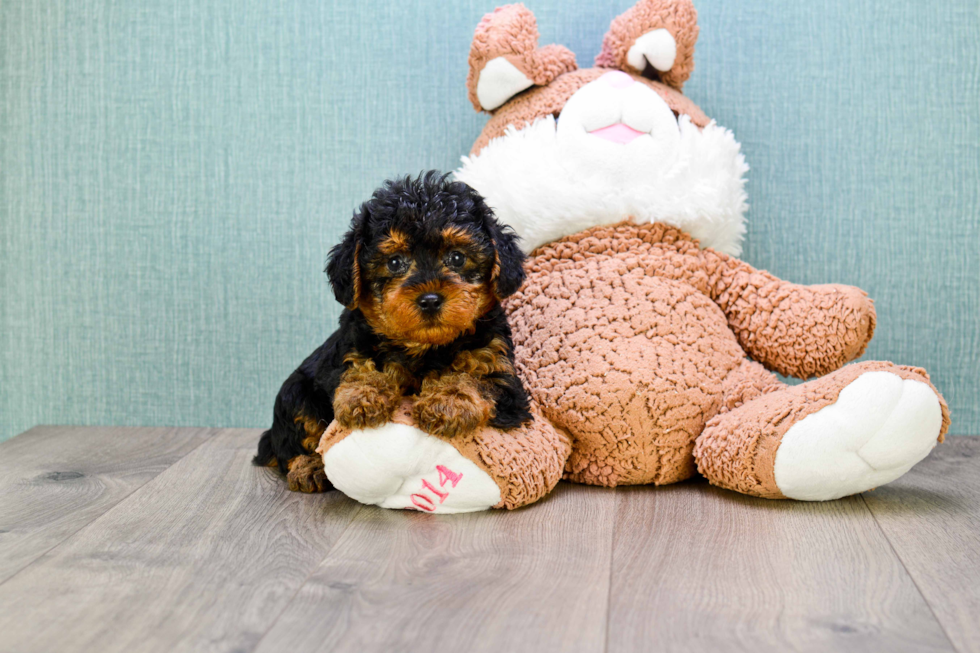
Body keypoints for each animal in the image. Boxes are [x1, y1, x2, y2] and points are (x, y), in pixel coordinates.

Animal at [251, 171, 528, 492]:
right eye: (395, 262)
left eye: (457, 258)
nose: (430, 299)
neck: (425, 346)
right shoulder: (350, 348)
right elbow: (358, 368)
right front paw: (363, 394)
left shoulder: (502, 375)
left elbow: (475, 379)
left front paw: (447, 401)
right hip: (294, 393)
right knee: (291, 443)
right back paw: (309, 467)